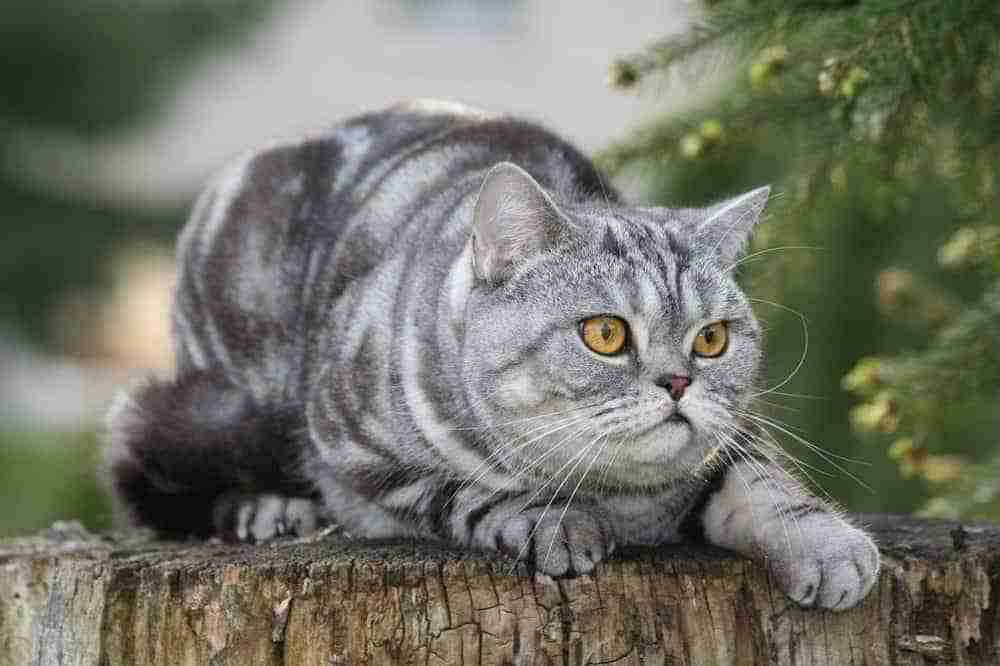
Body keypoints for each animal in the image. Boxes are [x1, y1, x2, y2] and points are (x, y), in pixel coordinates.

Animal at [105, 97, 880, 608]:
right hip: (225, 399)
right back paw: (271, 511)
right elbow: (467, 491)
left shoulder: (733, 434)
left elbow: (767, 480)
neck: (627, 501)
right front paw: (552, 522)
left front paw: (829, 545)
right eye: (606, 334)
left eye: (712, 340)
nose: (679, 382)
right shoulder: (353, 448)